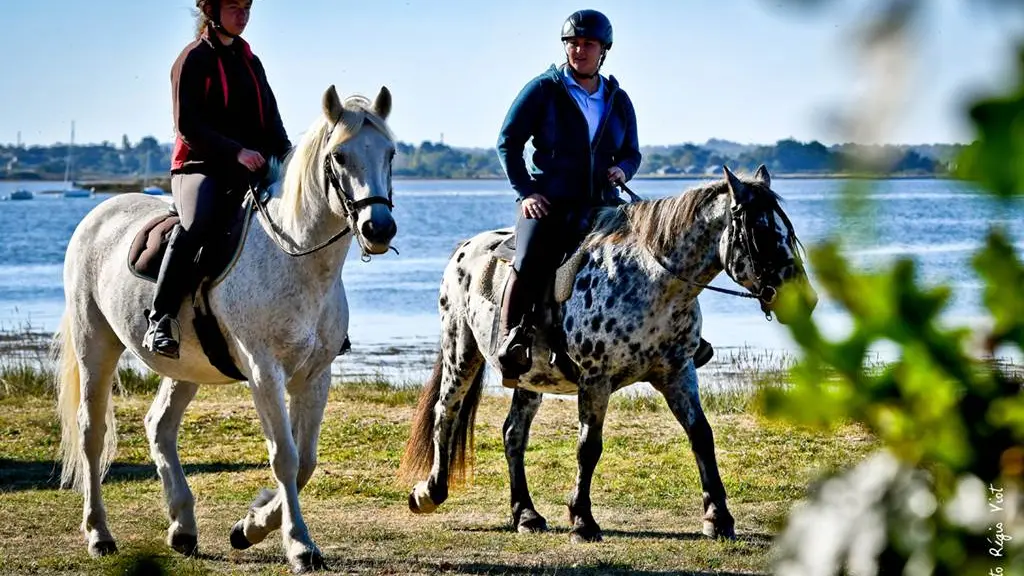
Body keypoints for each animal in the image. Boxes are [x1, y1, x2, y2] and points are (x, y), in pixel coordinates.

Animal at [52, 85, 395, 569]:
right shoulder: (264, 372)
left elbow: (306, 460)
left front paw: (250, 527)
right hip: (94, 346)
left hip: (185, 368)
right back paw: (99, 535)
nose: (378, 227)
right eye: (339, 156)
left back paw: (182, 529)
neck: (294, 257)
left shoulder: (316, 375)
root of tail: (100, 212)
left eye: (390, 153)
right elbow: (285, 457)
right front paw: (299, 545)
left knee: (159, 425)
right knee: (91, 435)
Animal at [399, 163, 815, 541]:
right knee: (445, 412)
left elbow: (701, 434)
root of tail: (465, 248)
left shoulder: (677, 372)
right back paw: (430, 492)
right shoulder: (595, 380)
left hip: (530, 377)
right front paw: (583, 520)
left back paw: (526, 514)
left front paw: (718, 518)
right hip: (461, 349)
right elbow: (589, 447)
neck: (651, 281)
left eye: (788, 232)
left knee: (513, 434)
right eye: (762, 233)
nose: (806, 301)